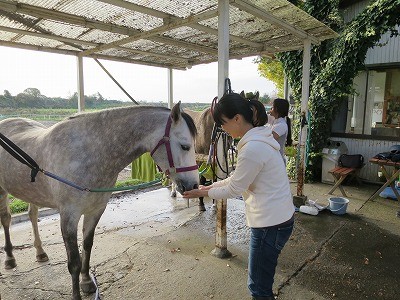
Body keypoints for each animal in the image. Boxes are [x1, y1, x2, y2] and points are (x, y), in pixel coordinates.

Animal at [0, 103, 200, 300]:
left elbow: (87, 246)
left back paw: (40, 252)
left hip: (31, 192)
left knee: (32, 215)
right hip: (2, 191)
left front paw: (87, 282)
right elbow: (74, 261)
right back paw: (9, 258)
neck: (89, 153)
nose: (193, 185)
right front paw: (77, 294)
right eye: (185, 146)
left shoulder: (95, 210)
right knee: (6, 219)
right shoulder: (69, 215)